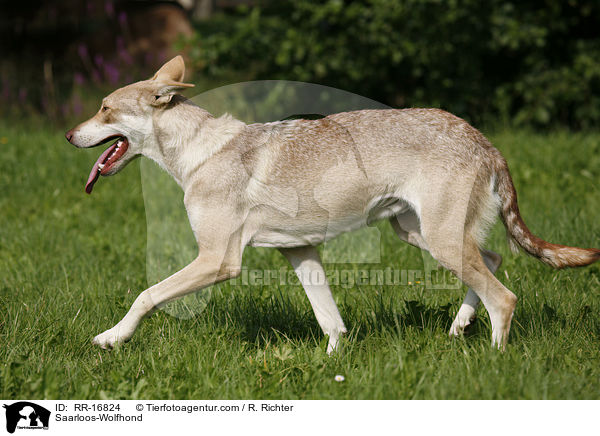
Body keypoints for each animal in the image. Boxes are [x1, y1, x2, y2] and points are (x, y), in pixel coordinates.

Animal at [65, 56, 600, 352]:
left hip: (440, 242)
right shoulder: (298, 252)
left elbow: (146, 295)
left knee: (503, 297)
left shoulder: (217, 260)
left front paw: (112, 338)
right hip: (422, 235)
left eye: (105, 109)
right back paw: (457, 328)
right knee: (491, 263)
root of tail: (483, 140)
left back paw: (493, 359)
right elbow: (331, 321)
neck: (199, 152)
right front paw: (333, 367)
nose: (68, 136)